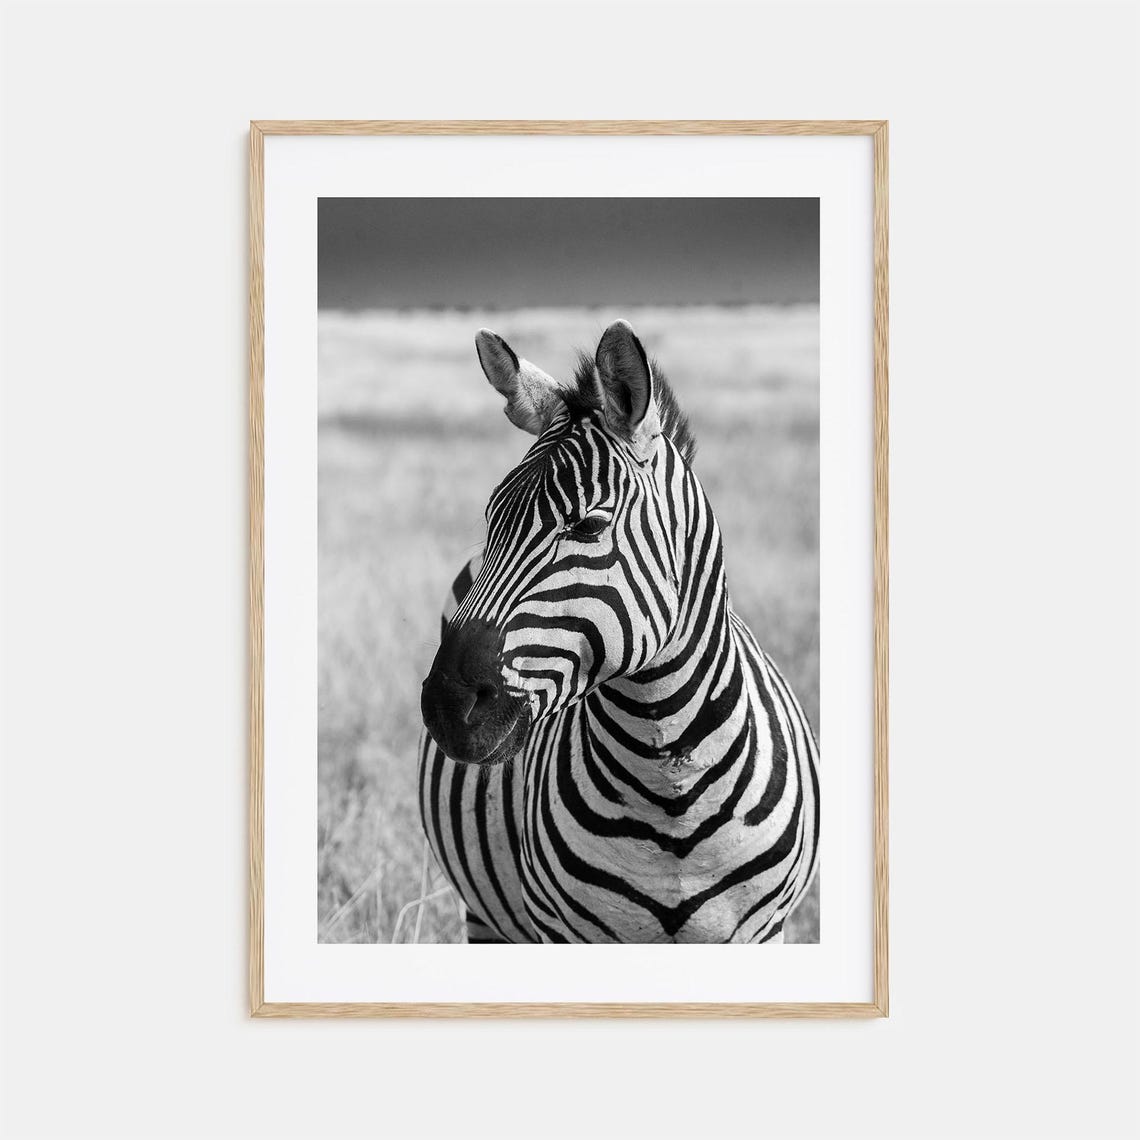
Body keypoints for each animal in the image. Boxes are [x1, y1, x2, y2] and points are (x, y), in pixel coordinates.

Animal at [417, 320, 819, 944]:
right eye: (491, 521)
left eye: (588, 525)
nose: (446, 705)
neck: (671, 788)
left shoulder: (764, 930)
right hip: (486, 916)